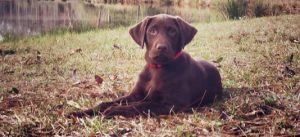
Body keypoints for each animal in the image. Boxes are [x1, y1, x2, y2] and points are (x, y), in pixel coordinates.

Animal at [68, 14, 223, 118]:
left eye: (172, 31)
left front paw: (112, 111)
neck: (157, 68)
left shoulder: (172, 104)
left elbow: (140, 106)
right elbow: (106, 103)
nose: (161, 47)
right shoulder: (135, 94)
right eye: (152, 31)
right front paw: (81, 112)